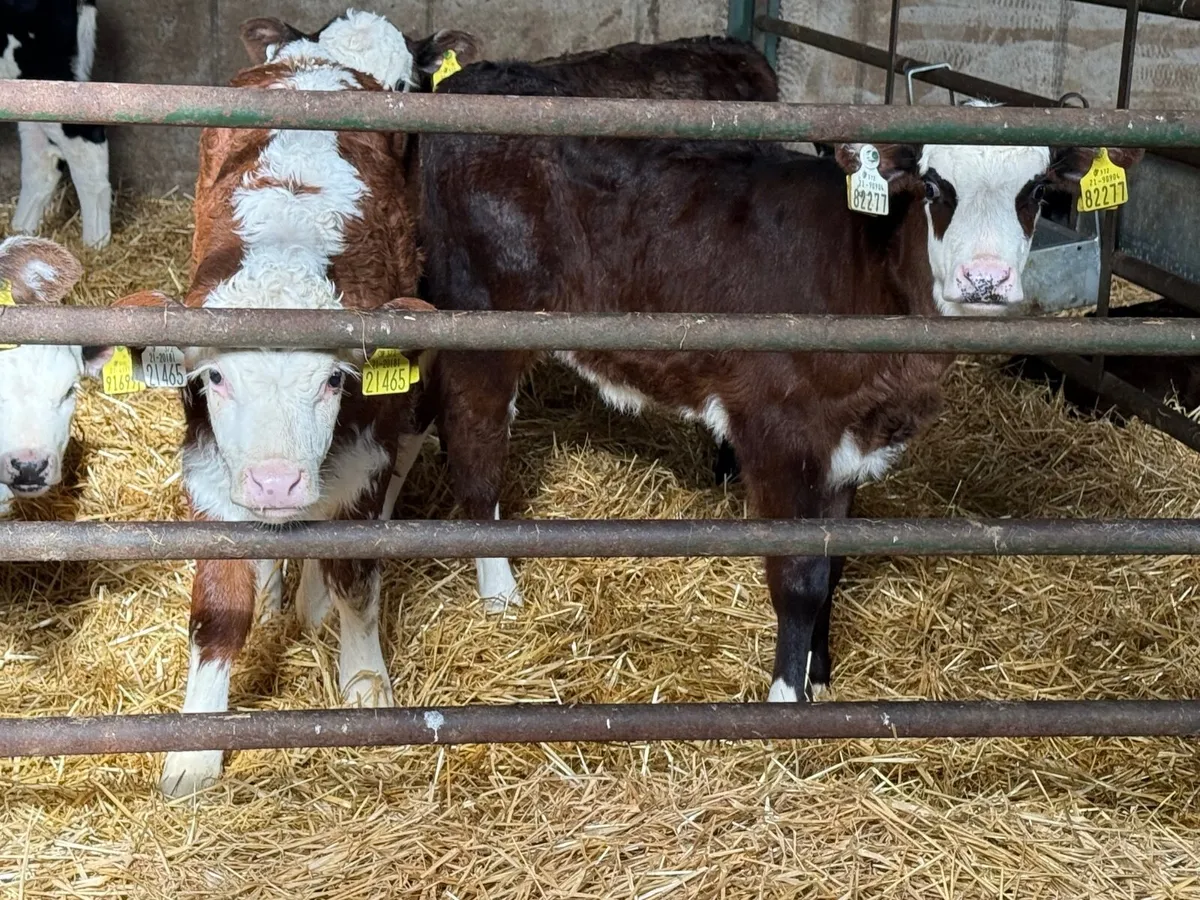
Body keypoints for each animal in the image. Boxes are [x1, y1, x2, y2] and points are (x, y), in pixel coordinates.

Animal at [114, 10, 472, 798]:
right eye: (216, 379)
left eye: (334, 381)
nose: (276, 481)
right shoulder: (209, 473)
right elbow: (219, 610)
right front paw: (193, 753)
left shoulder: (365, 454)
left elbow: (354, 579)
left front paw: (365, 683)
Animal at [419, 65, 1143, 704]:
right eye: (937, 187)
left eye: (1038, 191)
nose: (985, 278)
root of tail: (478, 80)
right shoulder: (778, 430)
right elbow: (797, 578)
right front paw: (785, 699)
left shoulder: (849, 442)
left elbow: (832, 567)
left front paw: (820, 676)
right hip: (479, 329)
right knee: (475, 450)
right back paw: (500, 593)